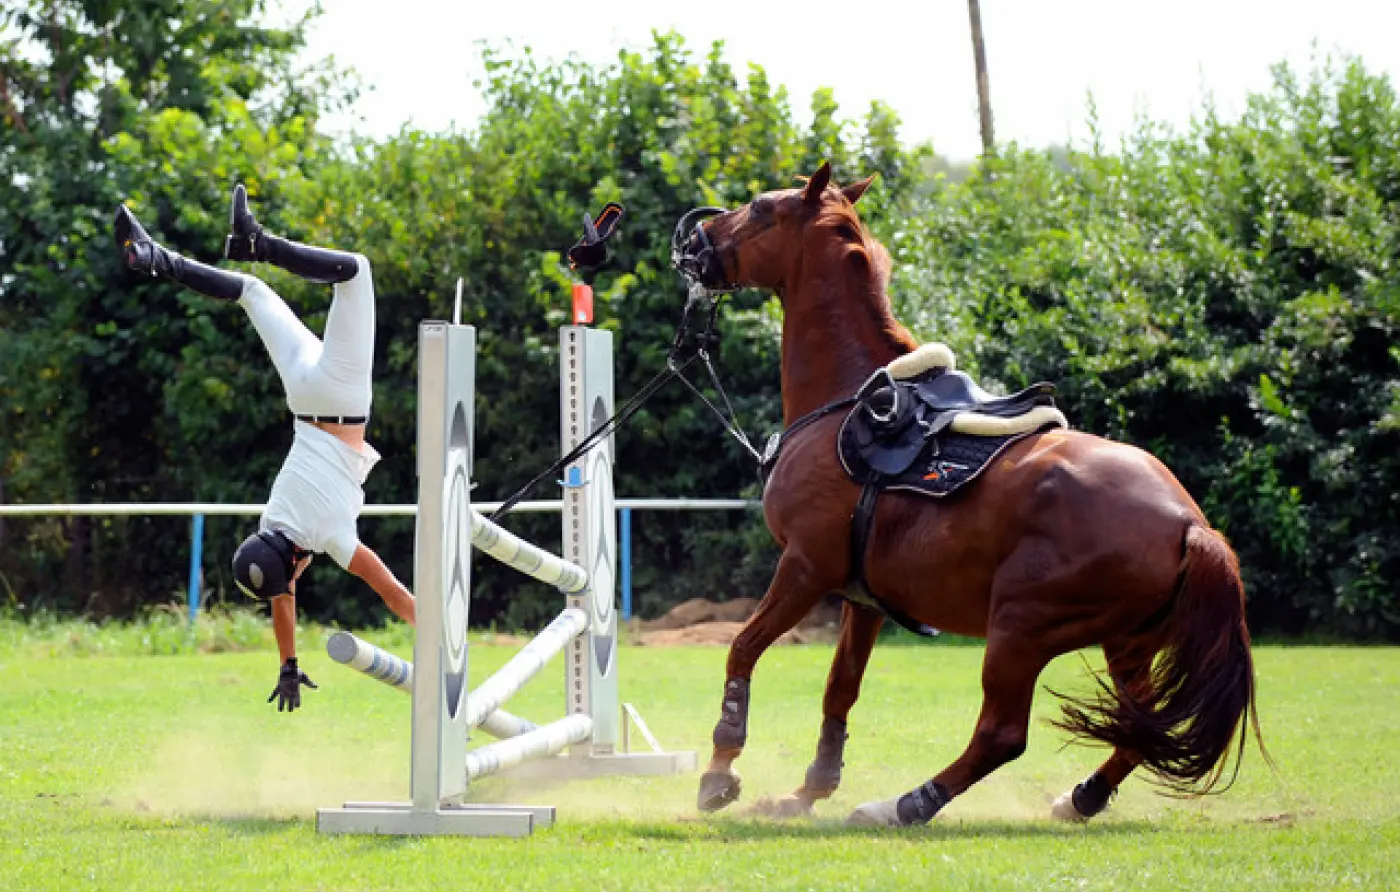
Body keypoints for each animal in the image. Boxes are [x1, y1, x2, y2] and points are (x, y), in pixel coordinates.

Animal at [671, 161, 1264, 826]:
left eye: (759, 208)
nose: (695, 236)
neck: (845, 402)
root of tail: (1189, 524)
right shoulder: (863, 600)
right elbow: (839, 690)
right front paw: (805, 793)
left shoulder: (804, 568)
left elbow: (742, 650)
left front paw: (720, 773)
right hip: (1123, 641)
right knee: (1137, 728)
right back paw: (1080, 797)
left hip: (1019, 629)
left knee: (1002, 734)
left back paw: (905, 804)